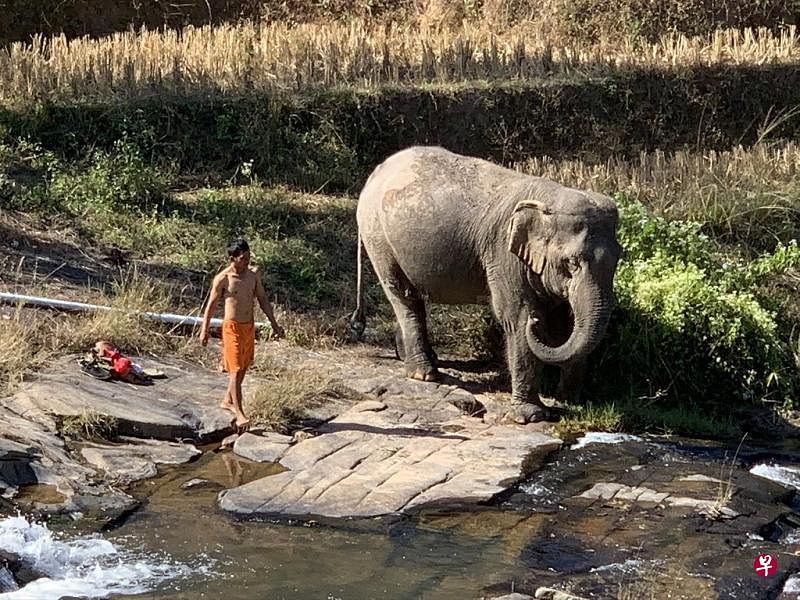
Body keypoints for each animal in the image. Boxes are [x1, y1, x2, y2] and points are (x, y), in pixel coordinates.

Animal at [349, 146, 621, 423]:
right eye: (572, 263)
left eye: (618, 259)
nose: (535, 322)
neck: (548, 199)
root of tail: (375, 173)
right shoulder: (504, 256)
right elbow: (517, 318)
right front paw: (531, 416)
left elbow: (563, 323)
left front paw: (570, 400)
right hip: (378, 239)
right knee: (403, 296)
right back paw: (424, 374)